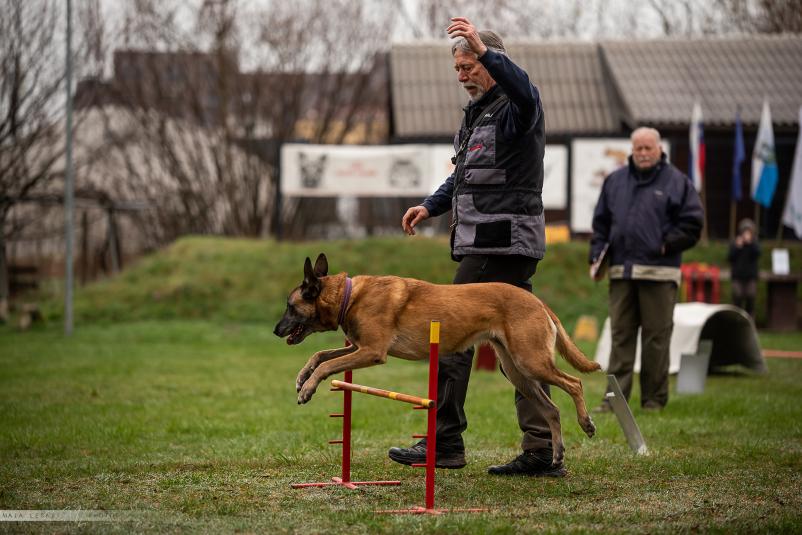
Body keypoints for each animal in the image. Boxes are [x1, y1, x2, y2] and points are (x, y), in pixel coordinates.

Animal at [272, 253, 596, 466]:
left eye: (290, 307)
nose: (275, 331)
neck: (348, 296)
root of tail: (538, 301)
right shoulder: (357, 347)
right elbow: (320, 355)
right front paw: (302, 376)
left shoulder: (372, 351)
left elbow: (327, 364)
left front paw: (307, 389)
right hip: (517, 371)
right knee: (552, 408)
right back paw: (557, 455)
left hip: (531, 361)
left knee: (575, 382)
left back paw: (587, 423)